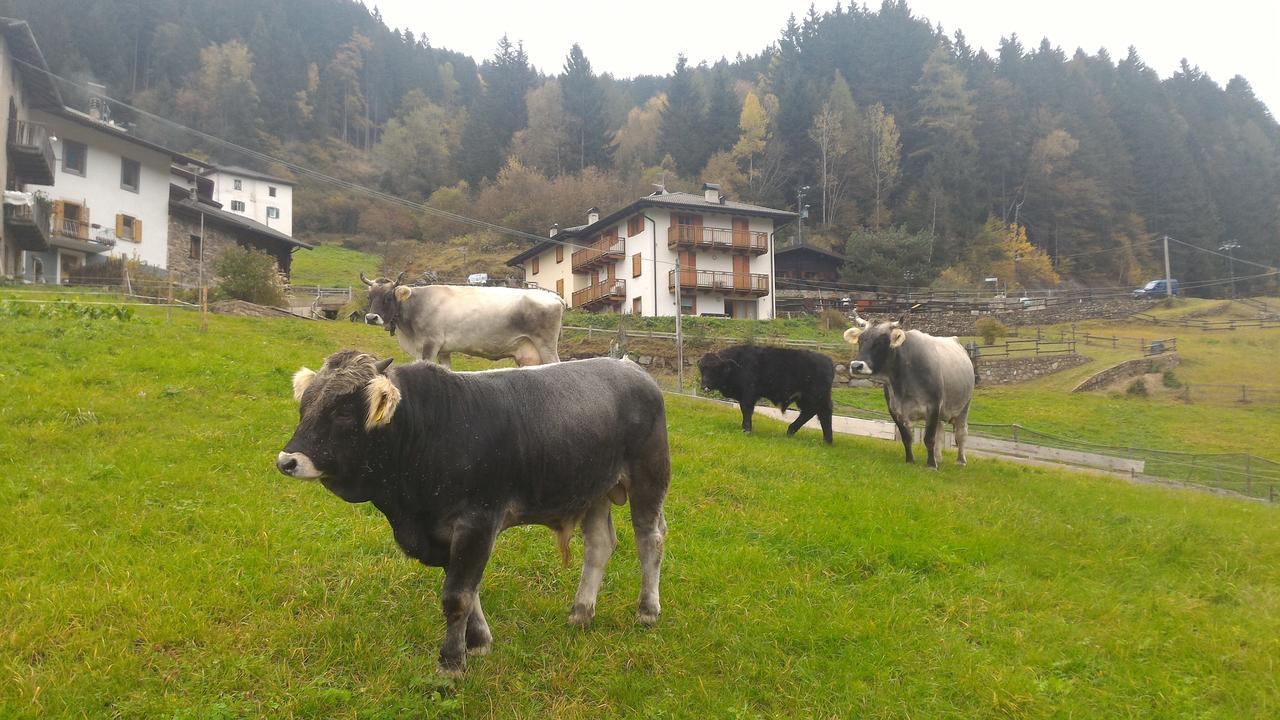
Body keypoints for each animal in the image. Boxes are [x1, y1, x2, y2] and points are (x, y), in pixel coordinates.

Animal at [277, 351, 670, 676]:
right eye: (305, 407)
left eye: (343, 412)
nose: (286, 461)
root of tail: (628, 366)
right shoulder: (443, 533)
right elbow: (467, 587)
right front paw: (478, 642)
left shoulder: (477, 522)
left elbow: (457, 595)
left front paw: (451, 663)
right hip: (593, 489)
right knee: (600, 545)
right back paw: (581, 612)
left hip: (648, 477)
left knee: (649, 539)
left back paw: (648, 610)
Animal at [360, 271, 560, 366]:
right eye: (370, 297)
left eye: (388, 297)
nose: (371, 317)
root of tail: (554, 296)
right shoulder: (443, 350)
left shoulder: (430, 345)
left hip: (547, 346)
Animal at [696, 345, 834, 440]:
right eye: (702, 368)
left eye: (715, 368)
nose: (704, 386)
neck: (738, 364)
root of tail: (828, 361)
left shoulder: (749, 394)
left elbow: (746, 410)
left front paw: (747, 430)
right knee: (819, 414)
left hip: (814, 398)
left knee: (817, 413)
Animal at [844, 311, 972, 468]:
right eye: (860, 340)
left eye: (881, 341)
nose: (856, 366)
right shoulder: (894, 410)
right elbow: (907, 437)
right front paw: (910, 460)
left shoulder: (933, 405)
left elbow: (929, 438)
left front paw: (931, 465)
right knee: (940, 432)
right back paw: (938, 457)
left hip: (964, 405)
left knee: (961, 432)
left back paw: (960, 461)